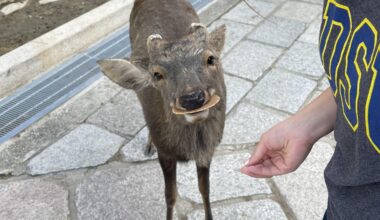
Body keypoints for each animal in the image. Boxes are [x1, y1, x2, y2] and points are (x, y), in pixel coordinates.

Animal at [98, 0, 227, 219]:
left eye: (211, 58)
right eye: (157, 74)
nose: (192, 99)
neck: (189, 147)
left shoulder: (209, 148)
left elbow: (205, 189)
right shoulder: (165, 153)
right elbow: (170, 195)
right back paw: (148, 146)